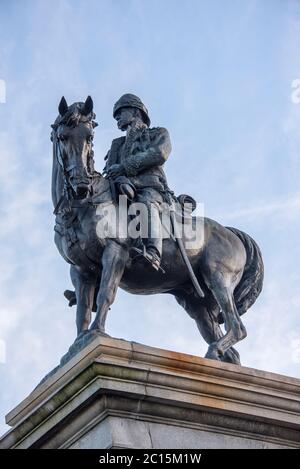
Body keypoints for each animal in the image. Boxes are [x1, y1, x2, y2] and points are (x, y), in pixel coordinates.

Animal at [50, 96, 264, 366]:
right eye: (62, 137)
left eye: (89, 136)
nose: (80, 185)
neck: (81, 208)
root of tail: (230, 233)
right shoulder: (79, 269)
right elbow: (82, 310)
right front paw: (77, 345)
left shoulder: (115, 252)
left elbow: (105, 295)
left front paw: (97, 333)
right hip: (196, 303)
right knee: (229, 344)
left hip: (217, 277)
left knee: (237, 326)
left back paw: (214, 350)